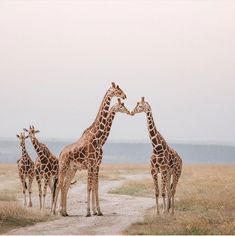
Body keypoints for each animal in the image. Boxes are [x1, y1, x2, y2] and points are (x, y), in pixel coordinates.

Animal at [52, 82, 126, 217]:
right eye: (118, 91)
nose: (125, 96)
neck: (99, 138)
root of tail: (60, 153)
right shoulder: (91, 163)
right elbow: (89, 186)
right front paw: (88, 212)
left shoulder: (96, 165)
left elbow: (95, 186)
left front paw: (98, 211)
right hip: (63, 166)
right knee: (60, 184)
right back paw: (55, 211)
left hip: (72, 169)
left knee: (65, 185)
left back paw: (64, 211)